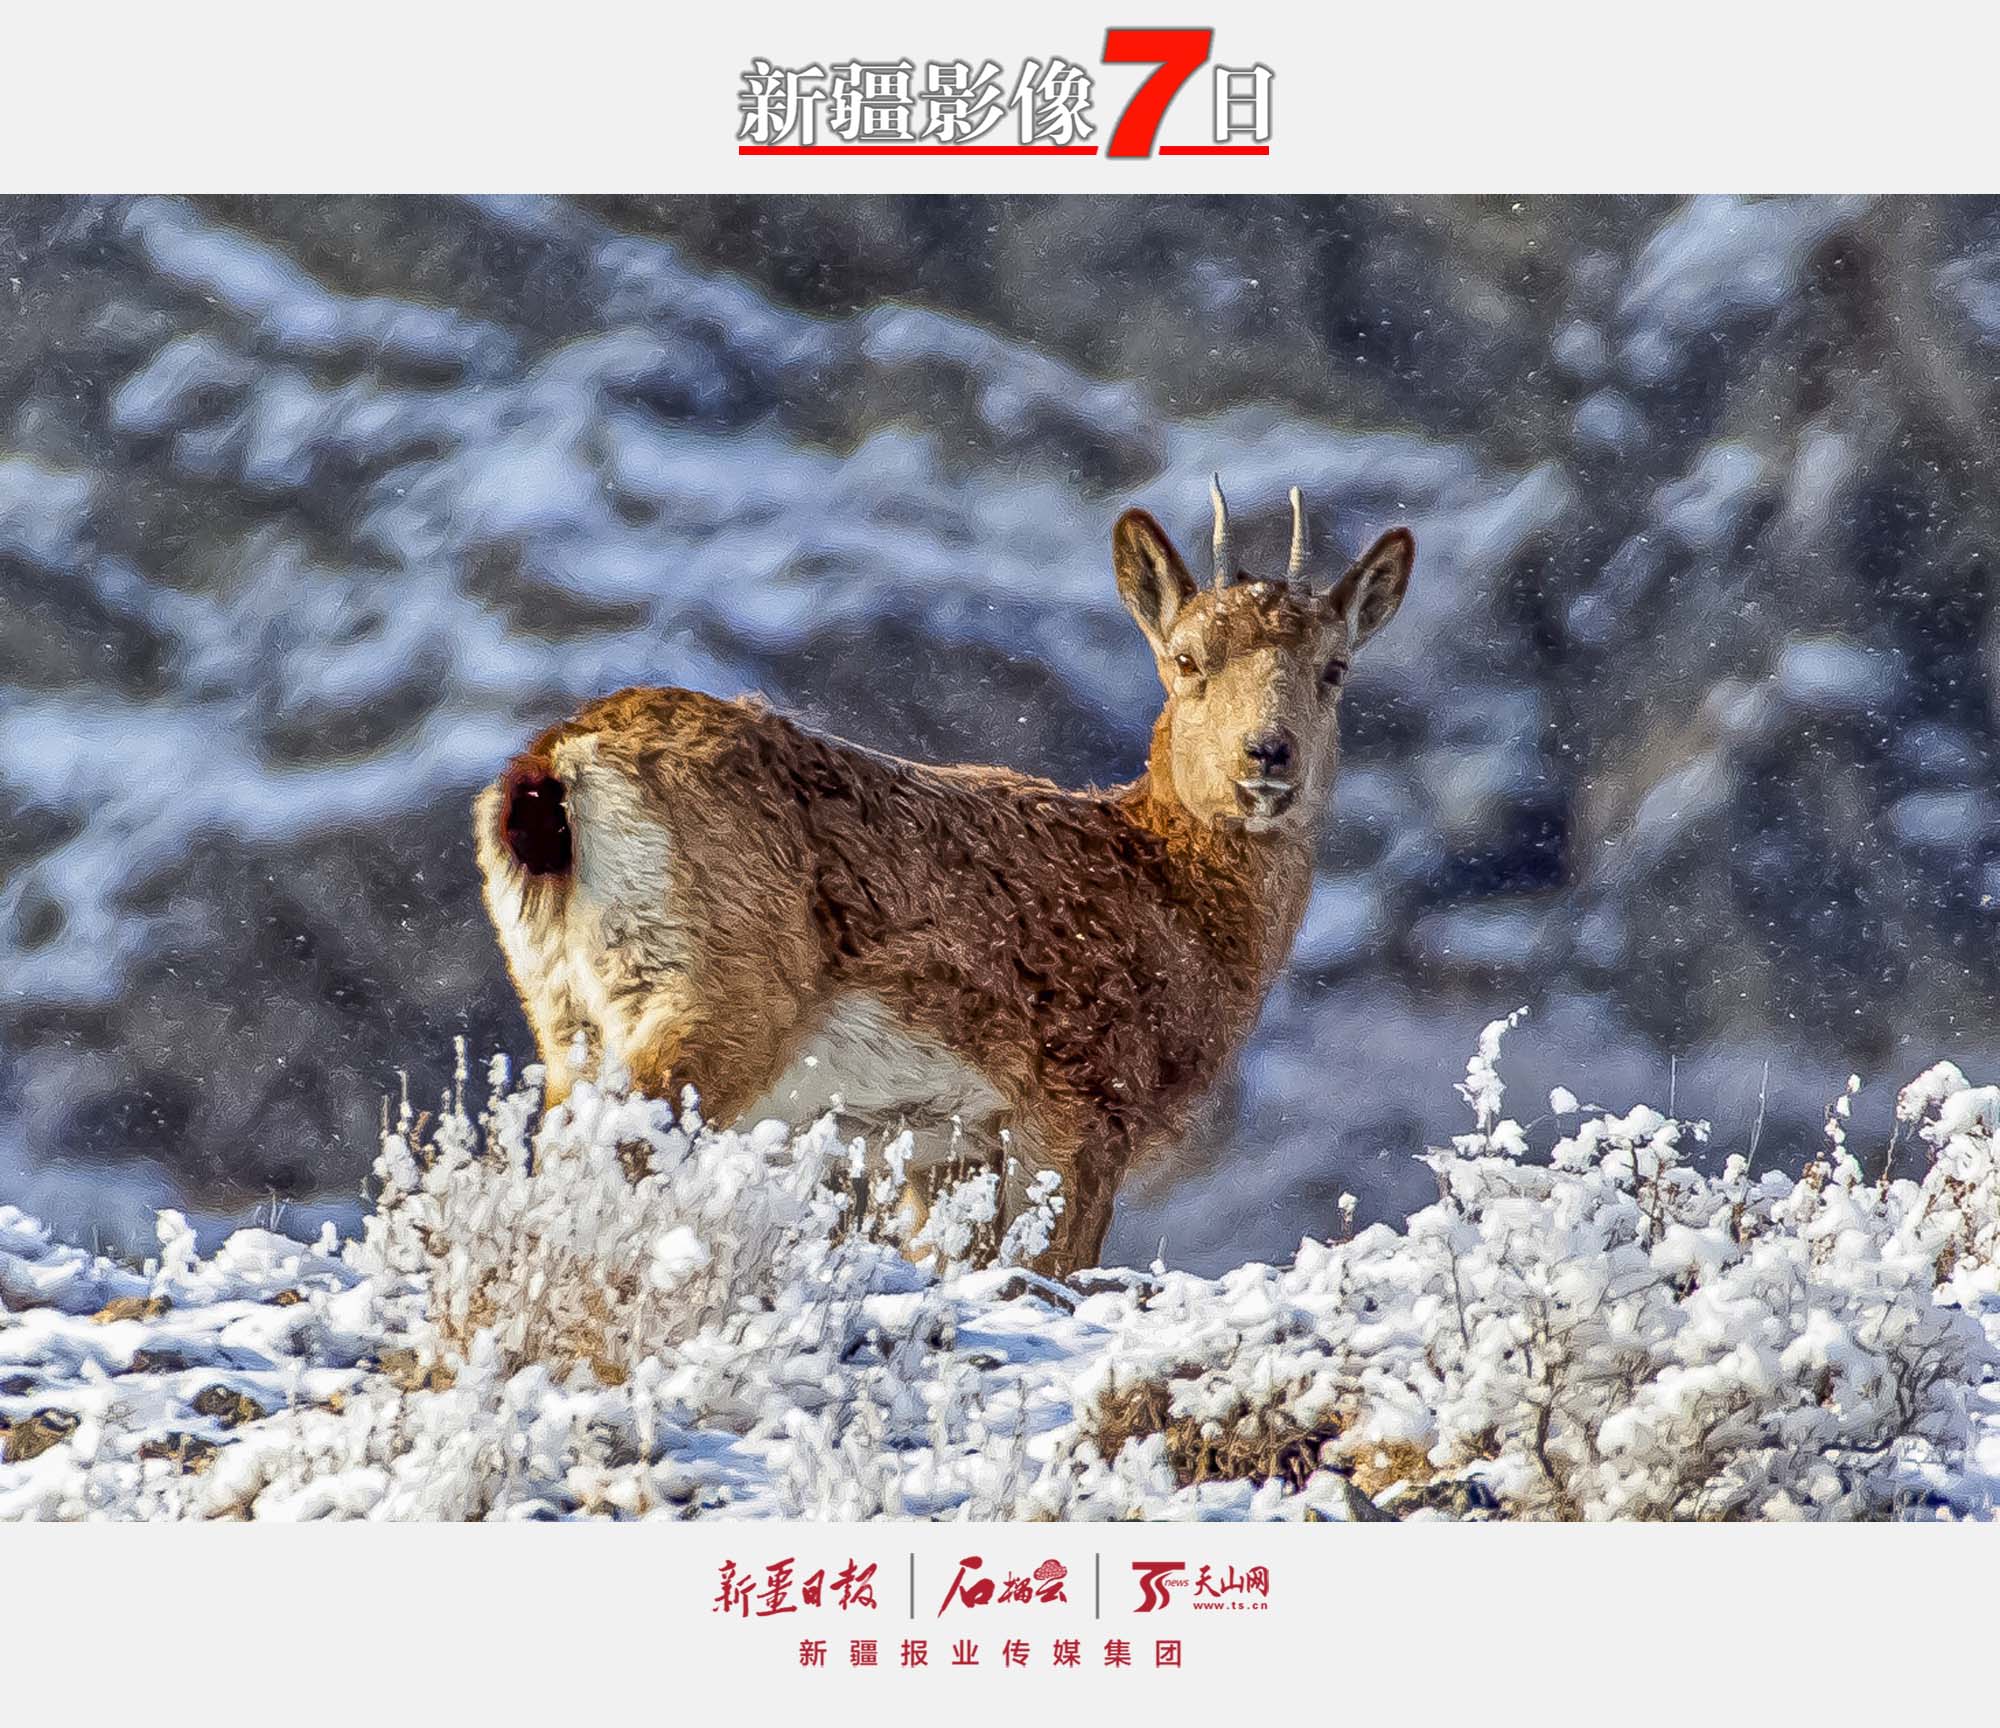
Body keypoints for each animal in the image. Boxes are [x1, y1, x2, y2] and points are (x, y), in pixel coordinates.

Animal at [472, 480, 1408, 1272]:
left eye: (1334, 668)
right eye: (1186, 659)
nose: (1267, 754)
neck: (1172, 899)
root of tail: (553, 768)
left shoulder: (950, 1144)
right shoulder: (1079, 1099)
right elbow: (1047, 1269)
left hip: (563, 1004)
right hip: (713, 989)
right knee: (622, 1147)